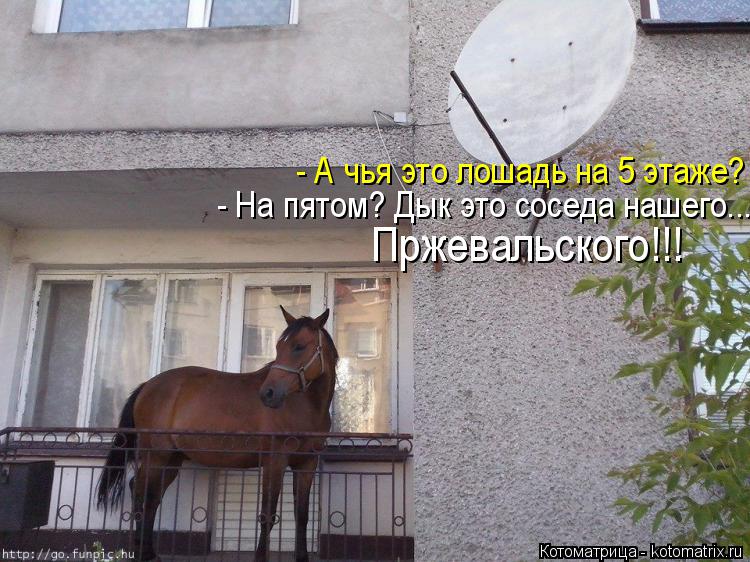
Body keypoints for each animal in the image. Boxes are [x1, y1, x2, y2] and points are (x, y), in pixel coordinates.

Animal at [96, 306, 337, 562]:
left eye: (299, 346)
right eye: (279, 347)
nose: (268, 394)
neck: (304, 405)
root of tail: (146, 386)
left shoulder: (307, 464)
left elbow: (302, 515)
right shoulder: (275, 461)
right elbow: (268, 515)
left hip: (171, 460)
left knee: (150, 498)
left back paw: (149, 552)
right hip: (156, 457)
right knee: (142, 493)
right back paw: (143, 551)